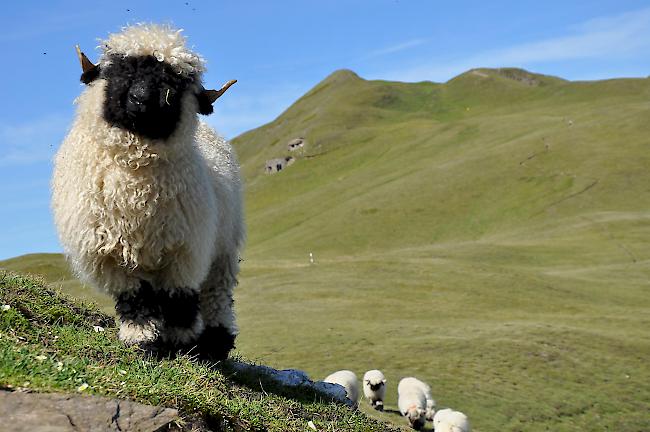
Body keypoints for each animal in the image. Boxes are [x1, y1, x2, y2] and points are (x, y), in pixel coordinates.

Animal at [50, 24, 243, 362]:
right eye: (120, 70)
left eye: (173, 84)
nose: (140, 99)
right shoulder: (110, 256)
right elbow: (136, 300)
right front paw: (143, 342)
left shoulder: (184, 252)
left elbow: (179, 300)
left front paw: (183, 343)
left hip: (223, 250)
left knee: (215, 295)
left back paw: (214, 343)